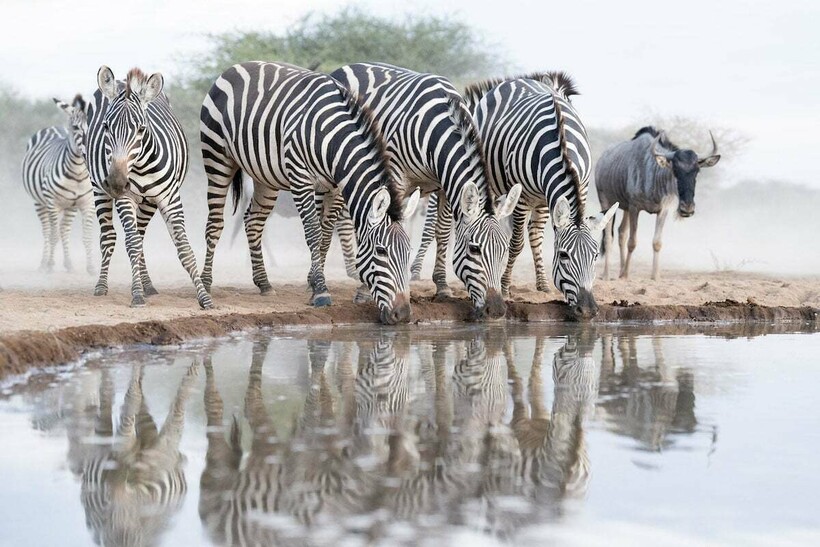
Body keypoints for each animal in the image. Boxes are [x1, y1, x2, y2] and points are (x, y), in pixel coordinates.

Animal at [21, 94, 96, 276]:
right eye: (75, 127)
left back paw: (68, 264)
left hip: (70, 206)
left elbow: (87, 237)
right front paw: (49, 265)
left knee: (64, 230)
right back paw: (43, 264)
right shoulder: (52, 203)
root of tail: (52, 127)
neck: (78, 174)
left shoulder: (87, 203)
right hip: (40, 202)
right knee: (48, 231)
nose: (88, 151)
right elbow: (53, 235)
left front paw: (91, 268)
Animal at [83, 65, 210, 308]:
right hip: (98, 189)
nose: (116, 182)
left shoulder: (170, 197)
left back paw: (148, 285)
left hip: (149, 202)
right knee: (110, 236)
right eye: (106, 127)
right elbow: (131, 243)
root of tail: (122, 81)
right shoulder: (126, 198)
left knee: (140, 236)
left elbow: (184, 247)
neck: (141, 166)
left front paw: (205, 298)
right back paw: (101, 286)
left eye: (141, 129)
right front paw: (137, 295)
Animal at [197, 61, 416, 326]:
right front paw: (321, 291)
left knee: (254, 221)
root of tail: (234, 67)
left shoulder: (334, 187)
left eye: (409, 252)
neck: (333, 140)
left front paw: (313, 285)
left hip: (265, 175)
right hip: (217, 157)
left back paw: (264, 283)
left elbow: (325, 236)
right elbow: (313, 233)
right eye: (381, 251)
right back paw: (206, 284)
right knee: (215, 224)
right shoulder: (301, 179)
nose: (403, 314)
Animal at [326, 63, 524, 322]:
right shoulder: (396, 178)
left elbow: (443, 232)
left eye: (504, 249)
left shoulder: (445, 183)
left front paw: (442, 287)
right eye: (474, 249)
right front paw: (367, 290)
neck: (438, 129)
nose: (497, 311)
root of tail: (346, 66)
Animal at [464, 73, 620, 322]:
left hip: (542, 200)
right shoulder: (522, 197)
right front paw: (505, 287)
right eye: (564, 256)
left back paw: (543, 284)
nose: (587, 311)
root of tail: (518, 80)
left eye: (595, 255)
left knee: (535, 233)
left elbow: (535, 236)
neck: (562, 146)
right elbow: (515, 243)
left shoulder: (576, 188)